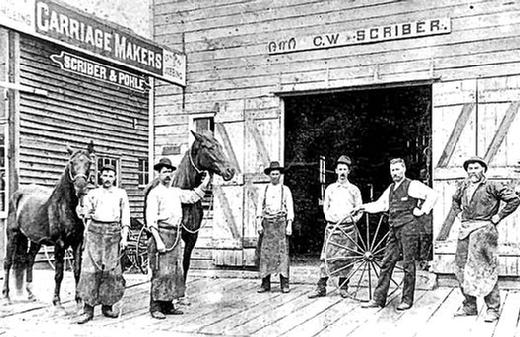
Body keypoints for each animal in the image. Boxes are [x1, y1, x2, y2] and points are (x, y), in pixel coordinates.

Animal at [1, 140, 93, 306]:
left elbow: (77, 271)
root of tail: (17, 194)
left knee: (29, 260)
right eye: (71, 162)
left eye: (89, 162)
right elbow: (58, 273)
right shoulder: (59, 244)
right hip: (13, 235)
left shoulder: (77, 242)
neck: (65, 206)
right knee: (7, 262)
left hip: (35, 240)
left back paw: (31, 294)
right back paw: (6, 296)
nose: (81, 188)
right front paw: (56, 301)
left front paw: (79, 300)